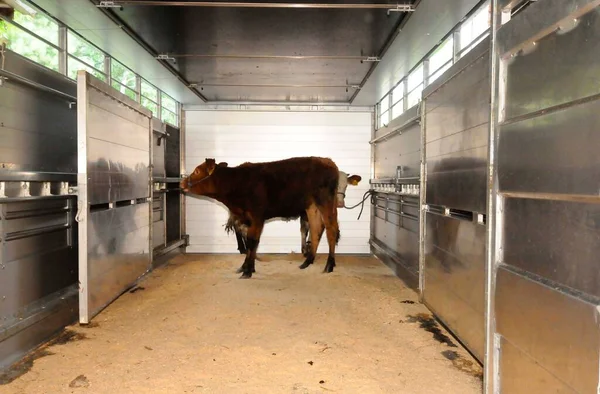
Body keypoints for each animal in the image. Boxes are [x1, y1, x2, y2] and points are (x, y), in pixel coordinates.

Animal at [180, 155, 342, 278]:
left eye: (197, 170)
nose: (182, 182)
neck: (237, 183)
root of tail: (328, 161)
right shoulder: (246, 219)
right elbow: (249, 243)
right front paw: (246, 267)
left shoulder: (257, 217)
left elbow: (253, 242)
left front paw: (247, 271)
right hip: (311, 206)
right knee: (316, 229)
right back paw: (308, 261)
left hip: (325, 202)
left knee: (331, 230)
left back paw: (329, 265)